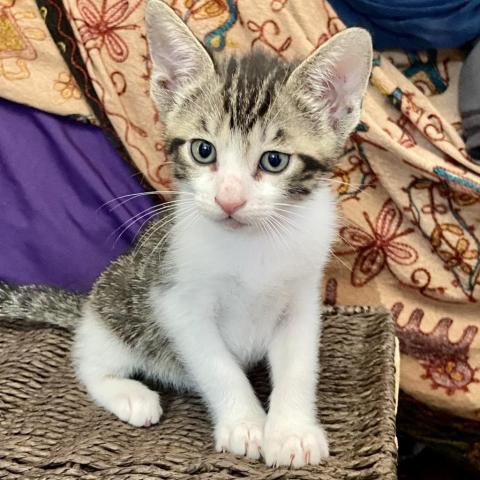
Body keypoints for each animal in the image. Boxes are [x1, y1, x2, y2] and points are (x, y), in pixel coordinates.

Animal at [0, 0, 372, 464]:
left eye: (274, 160)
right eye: (203, 150)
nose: (229, 199)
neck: (252, 244)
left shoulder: (302, 298)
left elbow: (299, 366)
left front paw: (291, 432)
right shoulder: (176, 301)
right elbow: (218, 367)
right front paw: (245, 424)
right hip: (118, 297)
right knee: (90, 359)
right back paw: (127, 393)